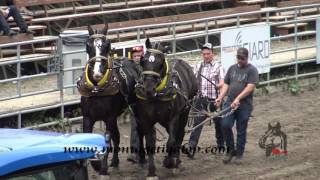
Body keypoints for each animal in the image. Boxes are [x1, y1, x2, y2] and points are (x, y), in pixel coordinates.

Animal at [78, 23, 139, 177]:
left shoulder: (109, 117)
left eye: (108, 44)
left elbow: (107, 139)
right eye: (87, 45)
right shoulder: (87, 118)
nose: (97, 73)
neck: (97, 88)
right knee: (117, 136)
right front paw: (95, 165)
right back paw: (115, 162)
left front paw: (103, 168)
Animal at [132, 38, 198, 179]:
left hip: (184, 112)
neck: (158, 94)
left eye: (161, 62)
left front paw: (170, 162)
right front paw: (151, 172)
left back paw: (176, 161)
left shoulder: (174, 117)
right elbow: (150, 143)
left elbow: (171, 141)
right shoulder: (146, 119)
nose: (148, 89)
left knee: (179, 134)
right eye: (143, 60)